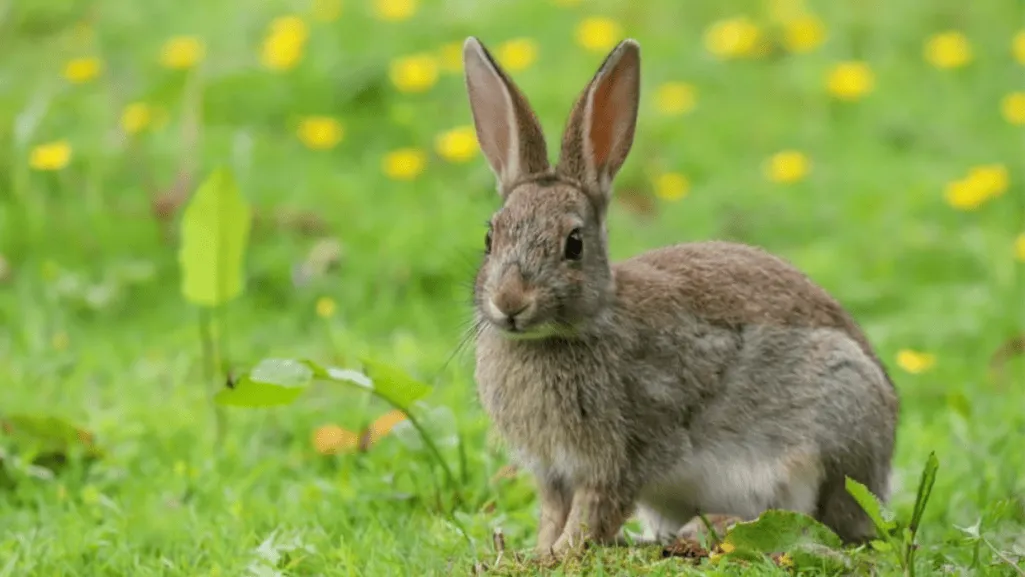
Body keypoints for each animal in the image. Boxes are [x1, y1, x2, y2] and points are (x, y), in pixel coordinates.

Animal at [460, 36, 900, 556]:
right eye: (490, 238)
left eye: (574, 244)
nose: (510, 303)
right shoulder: (552, 471)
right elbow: (552, 512)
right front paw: (538, 552)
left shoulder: (622, 455)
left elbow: (591, 513)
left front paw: (563, 554)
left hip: (833, 423)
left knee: (814, 522)